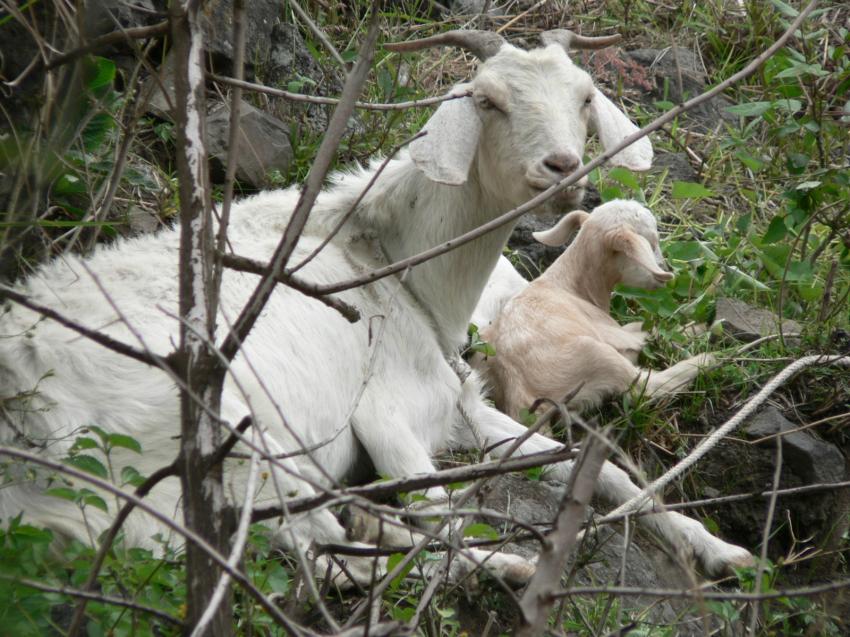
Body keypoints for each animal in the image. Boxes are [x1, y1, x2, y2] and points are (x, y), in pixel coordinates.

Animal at [474, 199, 715, 419]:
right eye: (652, 243)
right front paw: (700, 328)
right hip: (597, 355)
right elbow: (652, 332)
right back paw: (707, 360)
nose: (665, 270)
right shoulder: (612, 334)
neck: (574, 287)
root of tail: (517, 392)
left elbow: (641, 325)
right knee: (646, 387)